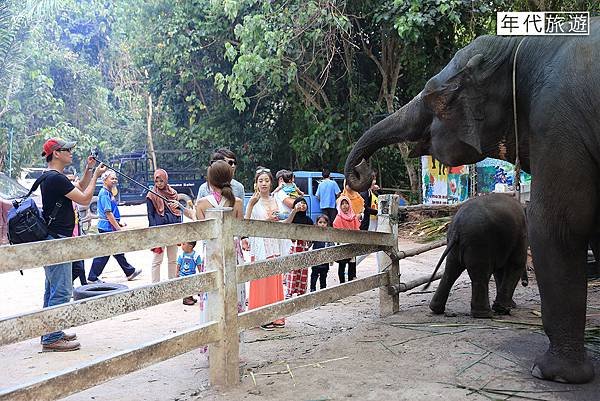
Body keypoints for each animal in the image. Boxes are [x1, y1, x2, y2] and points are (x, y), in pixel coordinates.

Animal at [344, 17, 596, 382]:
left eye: (433, 97)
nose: (364, 171)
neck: (520, 47)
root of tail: (458, 227)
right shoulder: (559, 124)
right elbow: (556, 225)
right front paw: (554, 374)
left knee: (455, 269)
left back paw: (446, 310)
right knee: (473, 271)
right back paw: (484, 315)